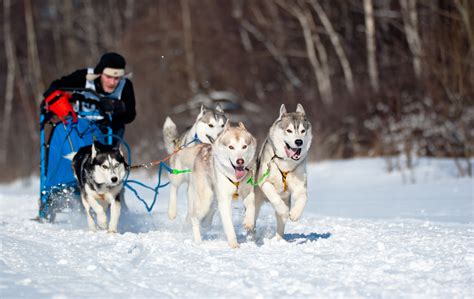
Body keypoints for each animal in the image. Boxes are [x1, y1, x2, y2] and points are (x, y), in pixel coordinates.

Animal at [246, 104, 312, 240]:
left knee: (280, 224)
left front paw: (295, 214)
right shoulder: (264, 183)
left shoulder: (300, 186)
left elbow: (304, 197)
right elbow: (274, 197)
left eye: (303, 131)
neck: (285, 164)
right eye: (289, 130)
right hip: (255, 199)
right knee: (253, 214)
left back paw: (278, 240)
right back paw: (251, 231)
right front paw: (284, 211)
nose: (299, 141)